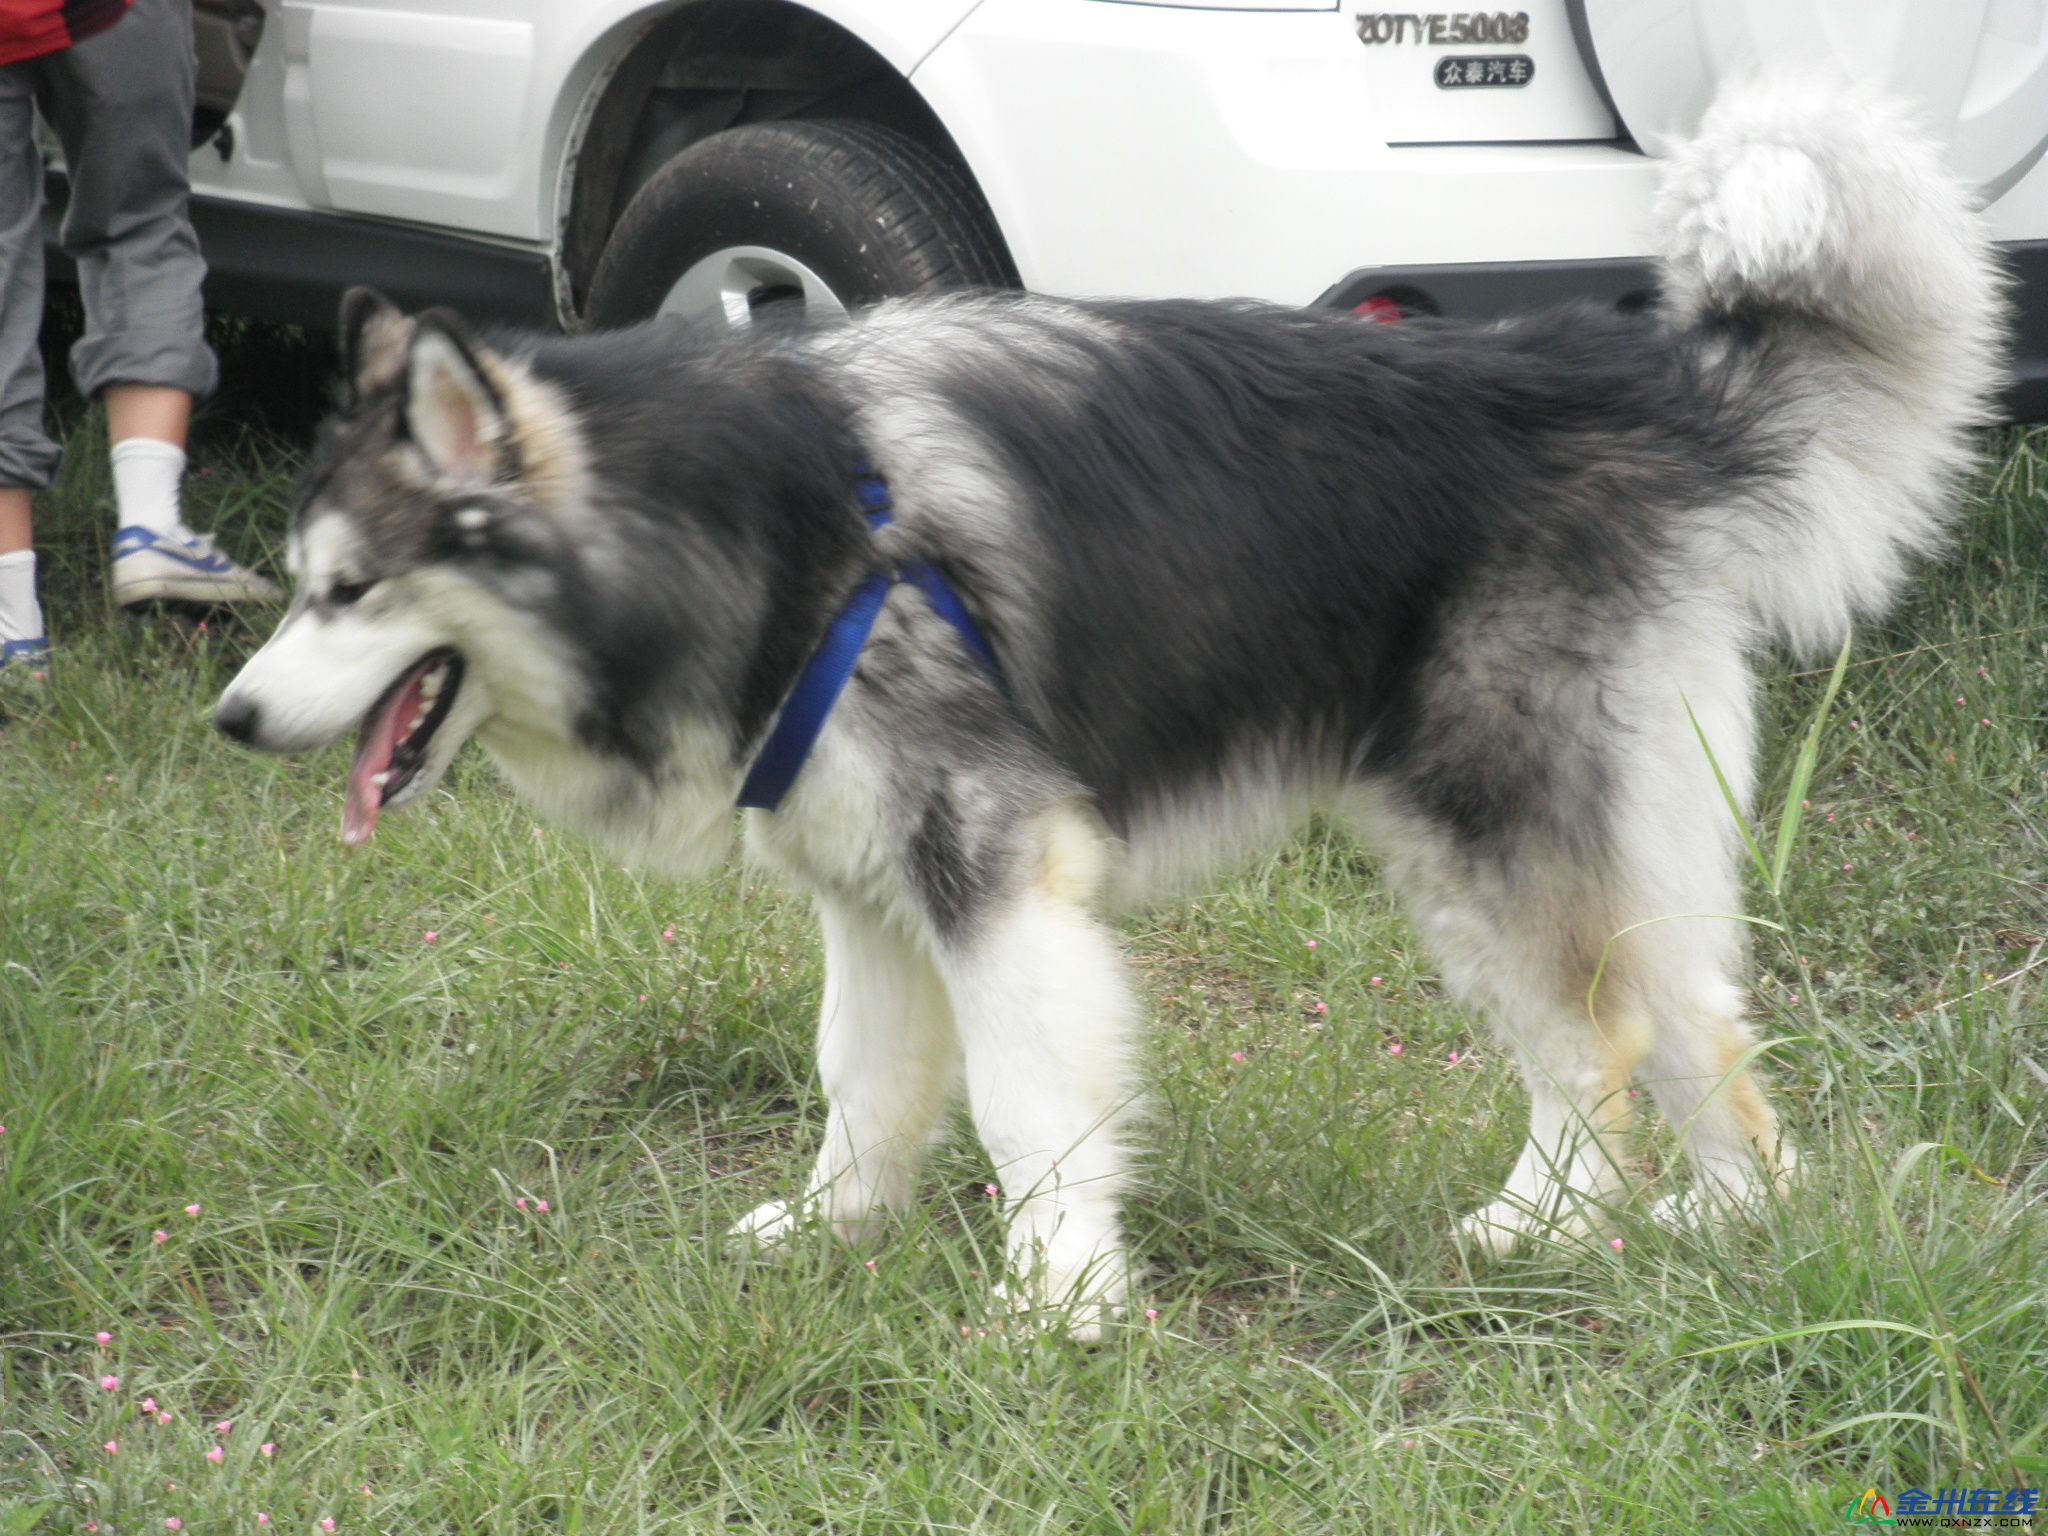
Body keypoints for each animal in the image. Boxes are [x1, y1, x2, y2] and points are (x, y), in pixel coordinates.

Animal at [220, 83, 1998, 1335]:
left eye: (349, 591)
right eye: (304, 586)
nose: (231, 719)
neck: (765, 529)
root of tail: (1619, 373)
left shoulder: (997, 868)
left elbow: (1026, 1106)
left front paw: (1057, 1303)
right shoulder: (869, 888)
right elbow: (862, 1080)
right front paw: (833, 1233)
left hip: (1488, 821)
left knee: (1602, 1036)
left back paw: (1552, 1227)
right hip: (1588, 825)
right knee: (1692, 1015)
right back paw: (1726, 1222)